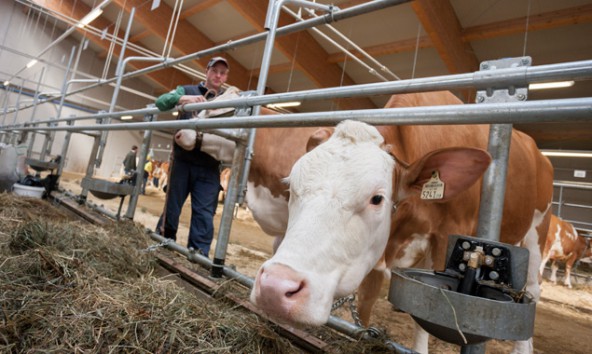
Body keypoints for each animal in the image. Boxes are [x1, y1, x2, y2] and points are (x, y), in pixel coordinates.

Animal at [247, 92, 552, 354]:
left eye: (377, 198)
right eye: (290, 186)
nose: (275, 287)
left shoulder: (450, 235)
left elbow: (429, 311)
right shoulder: (376, 253)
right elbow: (366, 304)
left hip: (537, 230)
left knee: (533, 289)